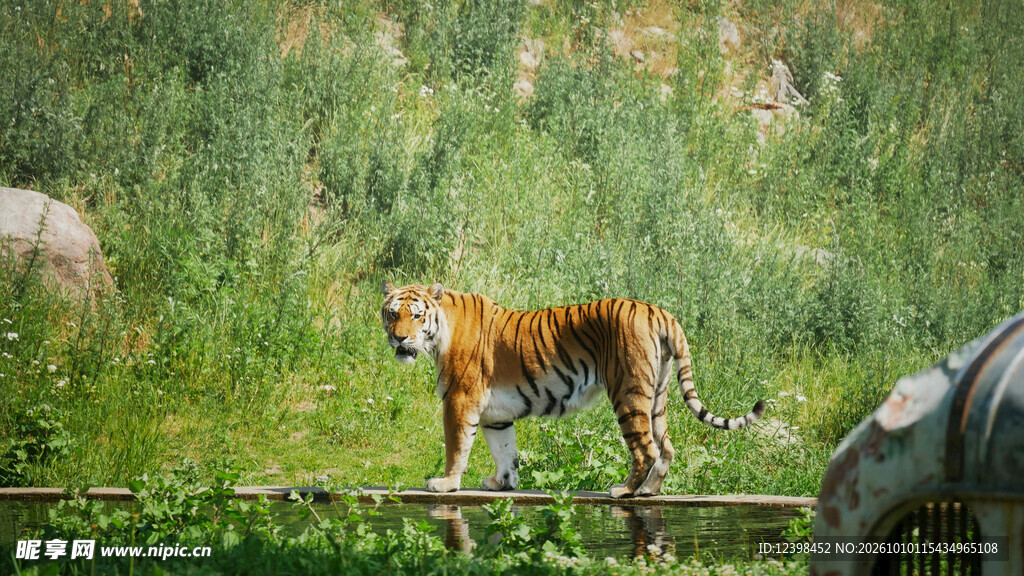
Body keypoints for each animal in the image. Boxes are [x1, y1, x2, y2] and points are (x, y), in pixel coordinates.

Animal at [380, 282, 765, 498]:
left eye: (416, 316)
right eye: (392, 314)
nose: (398, 339)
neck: (439, 333)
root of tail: (659, 311)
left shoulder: (459, 400)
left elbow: (456, 447)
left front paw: (445, 484)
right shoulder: (495, 414)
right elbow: (505, 451)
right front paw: (503, 484)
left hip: (628, 392)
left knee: (646, 449)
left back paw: (625, 491)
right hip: (658, 394)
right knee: (667, 447)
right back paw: (649, 492)